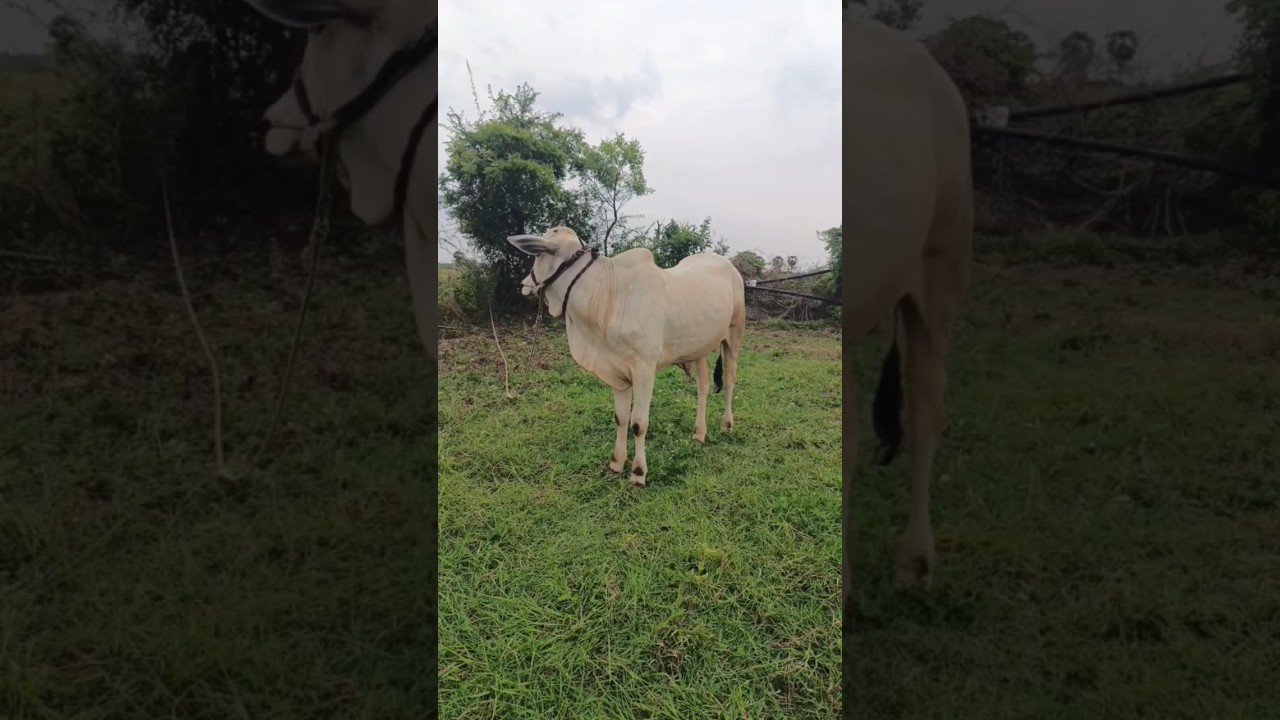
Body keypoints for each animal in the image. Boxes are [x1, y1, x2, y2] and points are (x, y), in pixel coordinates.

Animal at [506, 227, 747, 488]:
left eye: (539, 254)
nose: (523, 284)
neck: (608, 295)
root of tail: (729, 265)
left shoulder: (644, 370)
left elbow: (638, 423)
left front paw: (638, 472)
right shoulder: (617, 372)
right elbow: (620, 418)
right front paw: (616, 463)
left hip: (734, 336)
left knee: (729, 381)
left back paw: (726, 424)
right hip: (699, 348)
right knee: (702, 387)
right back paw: (699, 433)